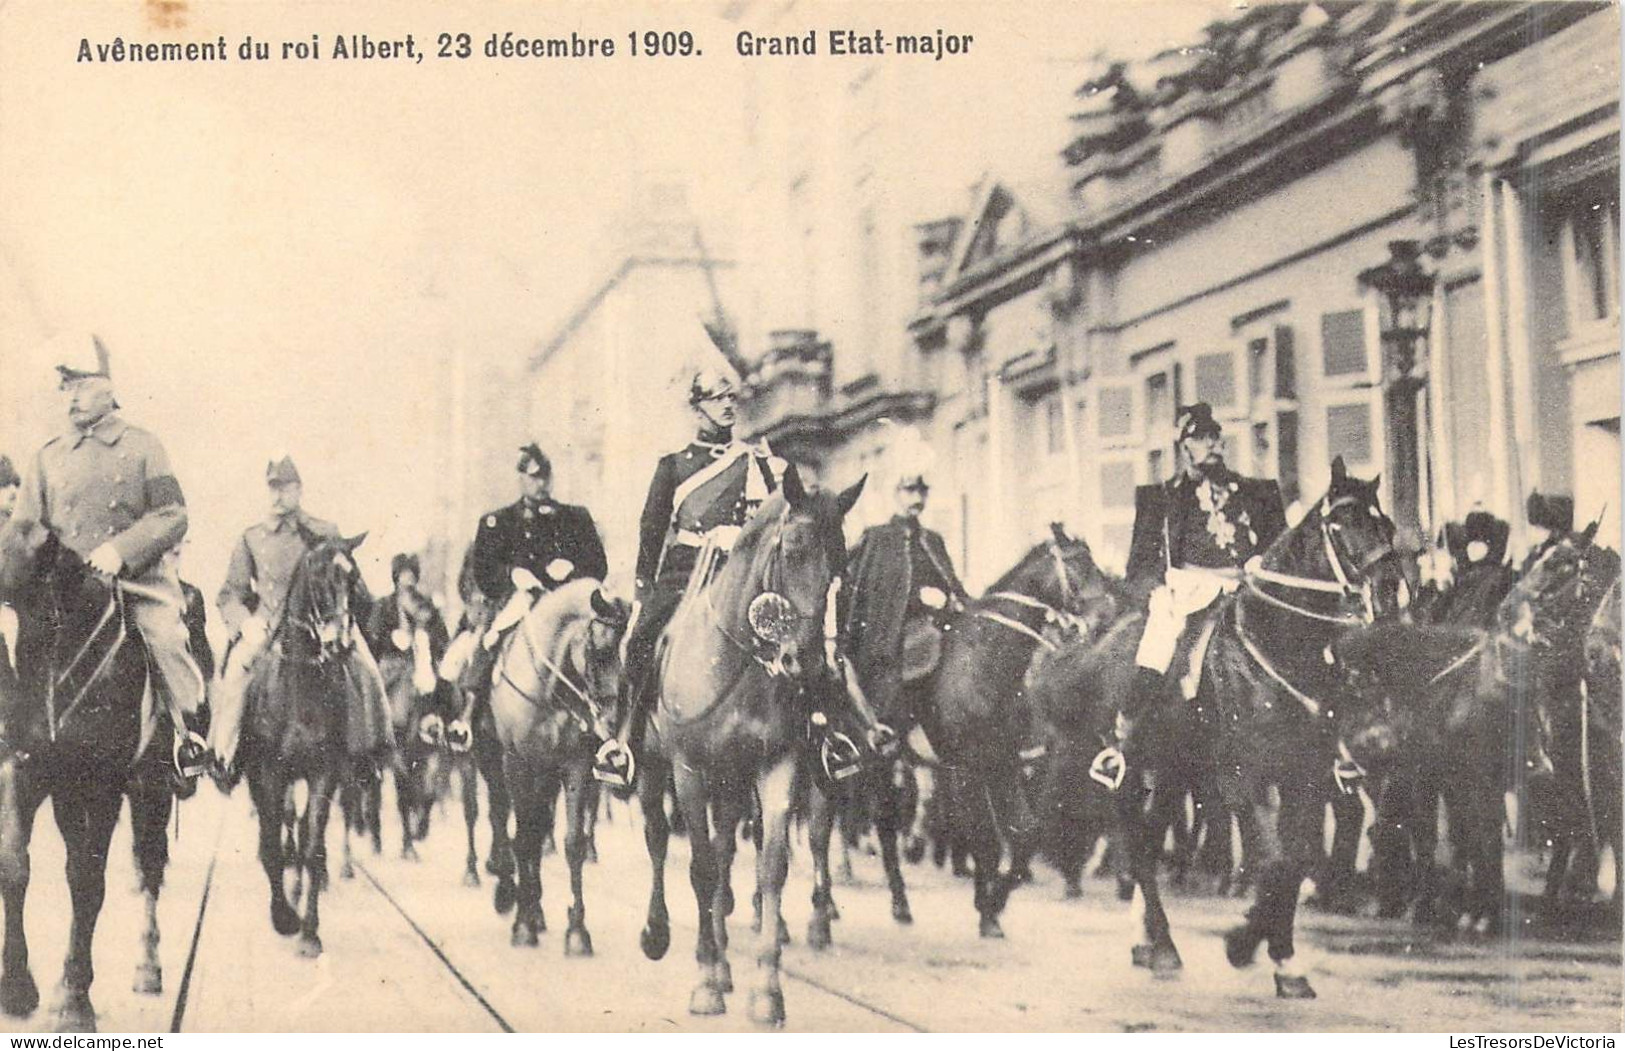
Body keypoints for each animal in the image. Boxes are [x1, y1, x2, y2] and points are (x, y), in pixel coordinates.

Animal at [0, 529, 177, 1033]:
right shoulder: (24, 769)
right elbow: (13, 865)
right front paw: (17, 987)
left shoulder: (102, 787)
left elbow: (87, 882)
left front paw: (77, 1001)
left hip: (151, 791)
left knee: (149, 866)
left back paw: (147, 966)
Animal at [237, 529, 377, 955]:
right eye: (316, 575)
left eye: (354, 579)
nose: (340, 643)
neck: (302, 688)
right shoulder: (269, 773)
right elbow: (271, 844)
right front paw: (283, 917)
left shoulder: (323, 773)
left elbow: (312, 844)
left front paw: (310, 932)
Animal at [481, 578, 627, 948]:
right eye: (598, 650)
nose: (612, 721)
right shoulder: (516, 763)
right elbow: (522, 838)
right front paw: (522, 925)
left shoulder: (574, 766)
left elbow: (572, 843)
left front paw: (577, 931)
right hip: (495, 764)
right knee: (501, 818)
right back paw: (508, 891)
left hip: (545, 776)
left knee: (539, 825)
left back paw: (536, 908)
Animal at [633, 477, 864, 1026]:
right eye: (794, 550)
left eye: (842, 565)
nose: (806, 661)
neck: (738, 659)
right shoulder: (689, 770)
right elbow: (699, 868)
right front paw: (703, 984)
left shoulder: (775, 765)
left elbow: (770, 867)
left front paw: (766, 991)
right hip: (656, 766)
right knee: (659, 837)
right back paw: (659, 934)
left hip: (732, 779)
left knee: (725, 852)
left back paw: (724, 964)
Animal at [806, 526, 1111, 948]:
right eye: (1078, 563)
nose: (1105, 615)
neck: (985, 660)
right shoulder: (966, 768)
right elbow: (983, 835)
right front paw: (987, 908)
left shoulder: (1003, 765)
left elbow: (1025, 834)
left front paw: (994, 903)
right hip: (838, 760)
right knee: (821, 826)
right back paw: (824, 912)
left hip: (883, 762)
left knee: (883, 824)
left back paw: (898, 903)